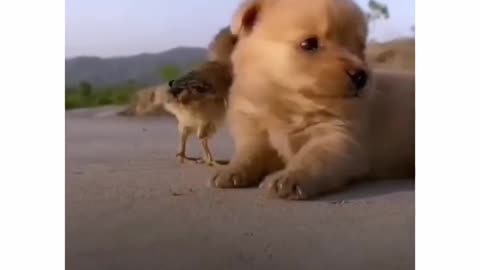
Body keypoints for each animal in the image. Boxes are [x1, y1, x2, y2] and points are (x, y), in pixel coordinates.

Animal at [211, 0, 416, 199]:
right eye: (309, 44)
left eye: (360, 48)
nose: (360, 76)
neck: (289, 104)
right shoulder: (255, 132)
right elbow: (249, 154)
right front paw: (230, 170)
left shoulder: (336, 139)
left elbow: (312, 158)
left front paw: (289, 178)